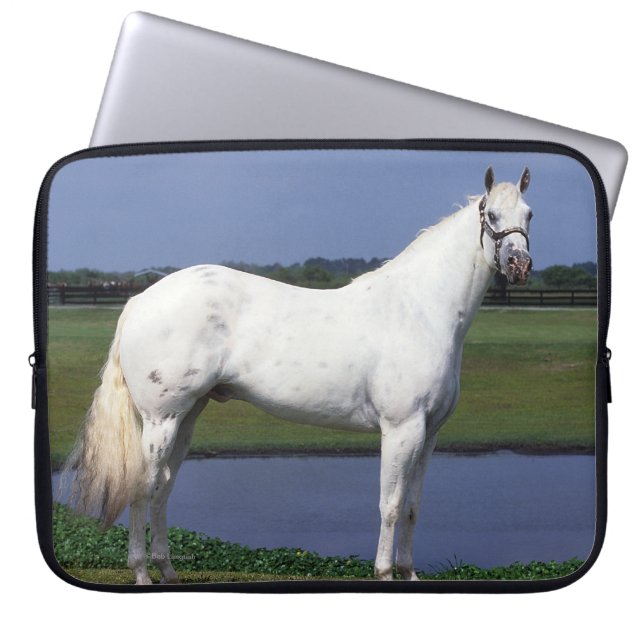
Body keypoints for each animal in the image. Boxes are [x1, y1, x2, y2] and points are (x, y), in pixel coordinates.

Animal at [64, 166, 533, 584]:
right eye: (491, 215)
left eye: (529, 214)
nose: (520, 264)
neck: (418, 309)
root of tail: (139, 300)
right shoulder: (401, 429)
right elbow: (391, 504)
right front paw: (384, 572)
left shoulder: (430, 432)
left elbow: (414, 506)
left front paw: (409, 572)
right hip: (161, 420)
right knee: (143, 487)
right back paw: (142, 572)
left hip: (187, 416)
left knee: (163, 486)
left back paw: (167, 569)